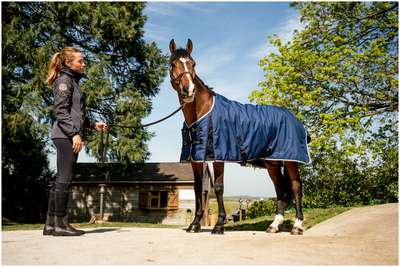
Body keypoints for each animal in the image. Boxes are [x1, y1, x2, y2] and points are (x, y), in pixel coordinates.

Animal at [167, 38, 310, 236]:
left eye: (193, 64)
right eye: (173, 64)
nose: (189, 90)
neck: (201, 112)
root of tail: (293, 117)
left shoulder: (218, 156)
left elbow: (219, 187)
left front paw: (219, 225)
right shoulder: (196, 159)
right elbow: (197, 189)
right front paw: (194, 224)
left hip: (291, 160)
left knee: (296, 187)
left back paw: (297, 225)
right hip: (273, 163)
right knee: (280, 188)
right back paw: (274, 225)